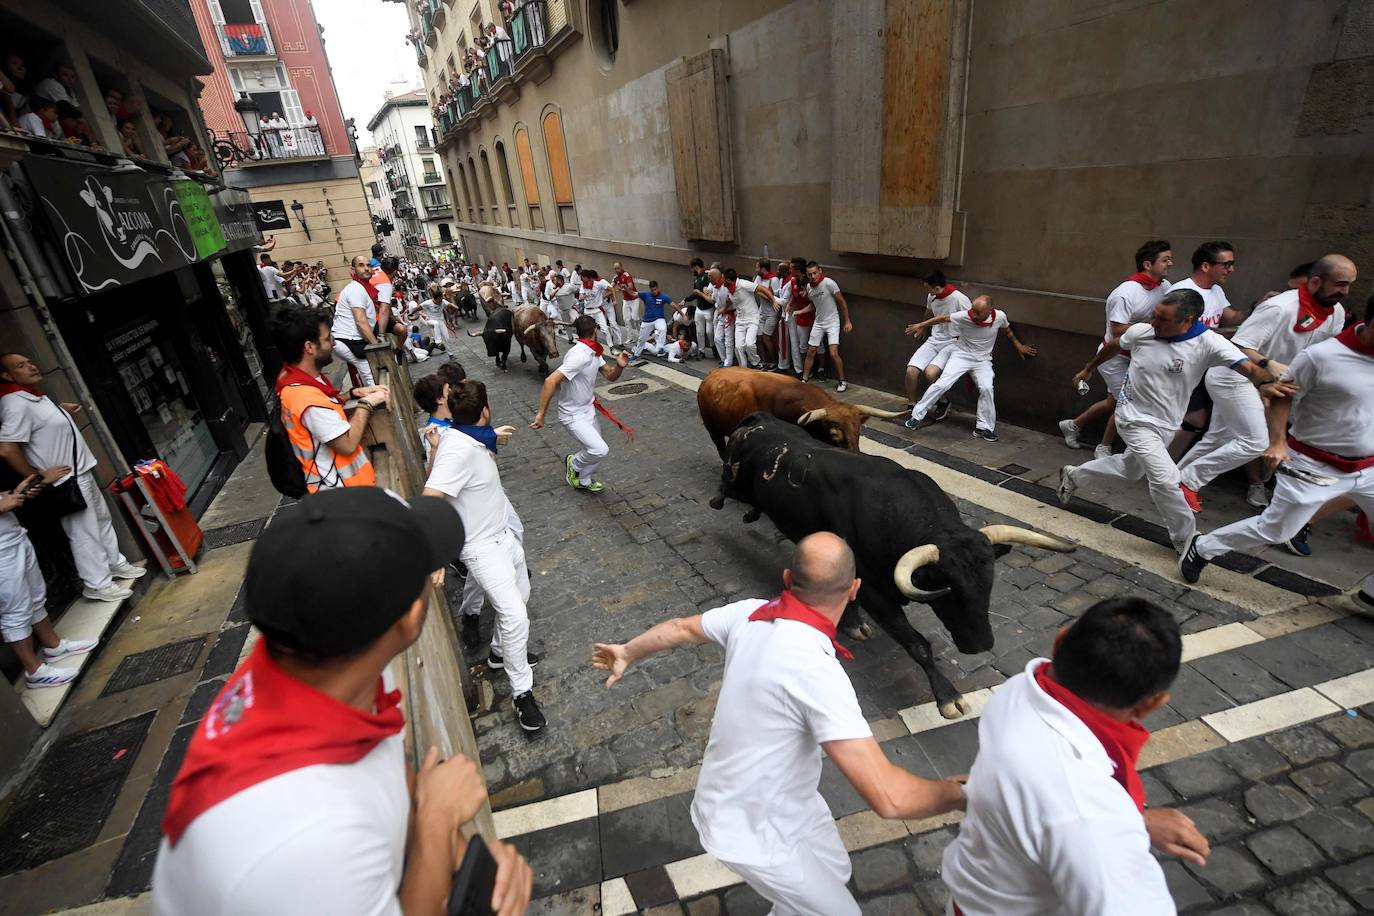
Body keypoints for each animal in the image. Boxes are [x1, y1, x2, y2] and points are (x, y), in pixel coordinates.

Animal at [714, 411, 1077, 719]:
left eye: (988, 583)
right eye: (948, 589)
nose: (981, 645)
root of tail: (760, 418)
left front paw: (852, 623)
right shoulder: (877, 593)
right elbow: (917, 643)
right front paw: (948, 696)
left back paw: (752, 512)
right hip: (738, 480)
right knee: (726, 482)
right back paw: (721, 501)